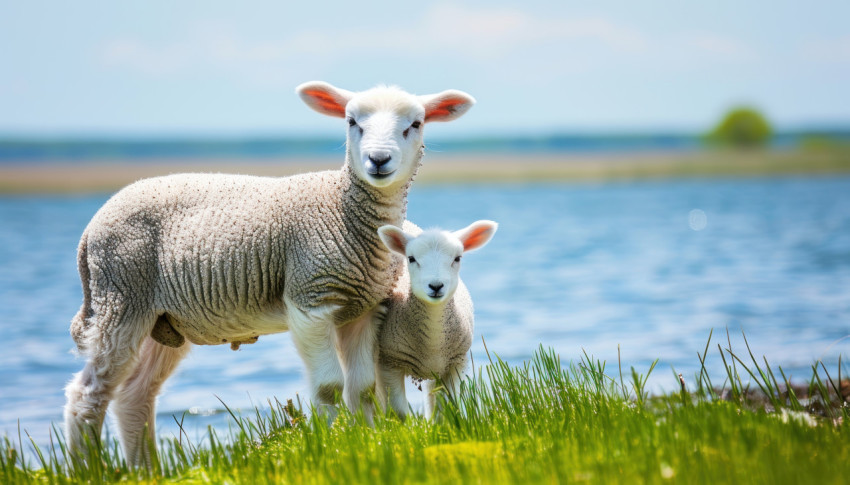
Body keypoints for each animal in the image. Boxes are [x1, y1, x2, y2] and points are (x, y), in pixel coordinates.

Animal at [64, 81, 476, 464]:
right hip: (121, 296)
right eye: (351, 122)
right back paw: (91, 470)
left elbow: (360, 389)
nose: (378, 159)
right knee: (87, 395)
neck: (344, 210)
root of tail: (90, 230)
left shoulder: (363, 308)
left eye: (415, 124)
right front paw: (330, 448)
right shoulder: (309, 297)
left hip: (160, 319)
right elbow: (328, 387)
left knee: (134, 396)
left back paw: (146, 471)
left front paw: (367, 444)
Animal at [374, 217, 494, 418]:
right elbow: (399, 412)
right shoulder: (390, 362)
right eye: (411, 258)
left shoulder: (455, 363)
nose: (436, 286)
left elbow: (449, 408)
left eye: (457, 258)